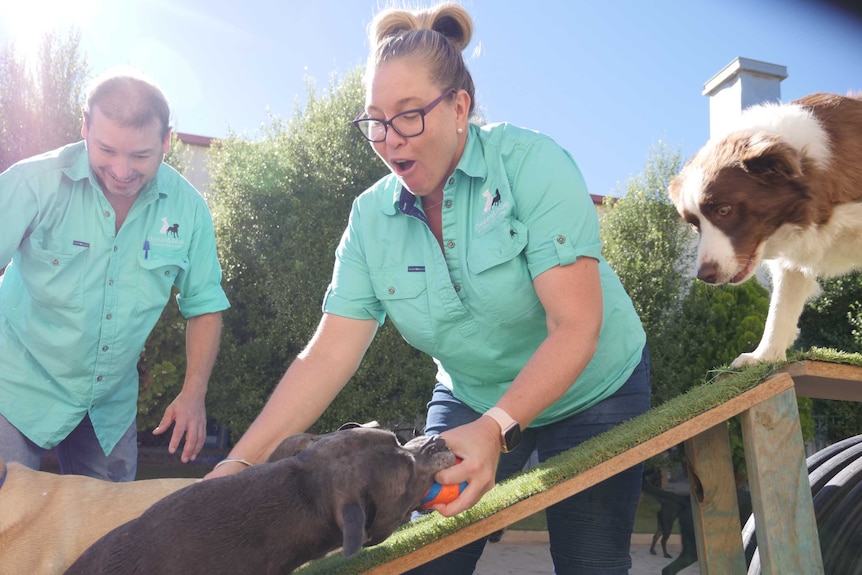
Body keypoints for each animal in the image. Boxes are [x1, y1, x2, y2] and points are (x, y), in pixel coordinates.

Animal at [668, 92, 862, 366]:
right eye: (695, 225)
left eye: (724, 210)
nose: (705, 276)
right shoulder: (792, 258)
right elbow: (781, 307)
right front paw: (763, 356)